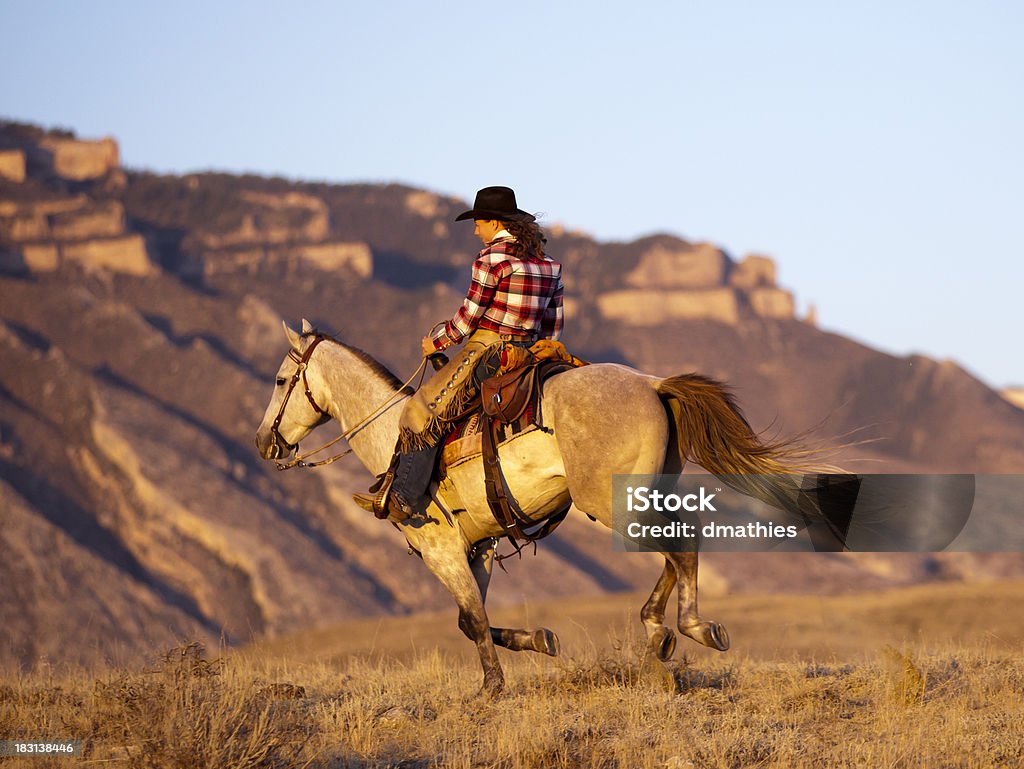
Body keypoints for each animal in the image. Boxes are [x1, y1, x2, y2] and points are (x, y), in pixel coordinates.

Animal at [256, 319, 831, 696]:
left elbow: (472, 619)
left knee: (681, 542)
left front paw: (491, 687)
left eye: (282, 380)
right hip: (645, 493)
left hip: (615, 504)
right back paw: (657, 637)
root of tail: (652, 384)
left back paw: (691, 627)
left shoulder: (440, 548)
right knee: (678, 543)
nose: (265, 442)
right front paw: (540, 639)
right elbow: (471, 620)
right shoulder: (482, 547)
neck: (390, 439)